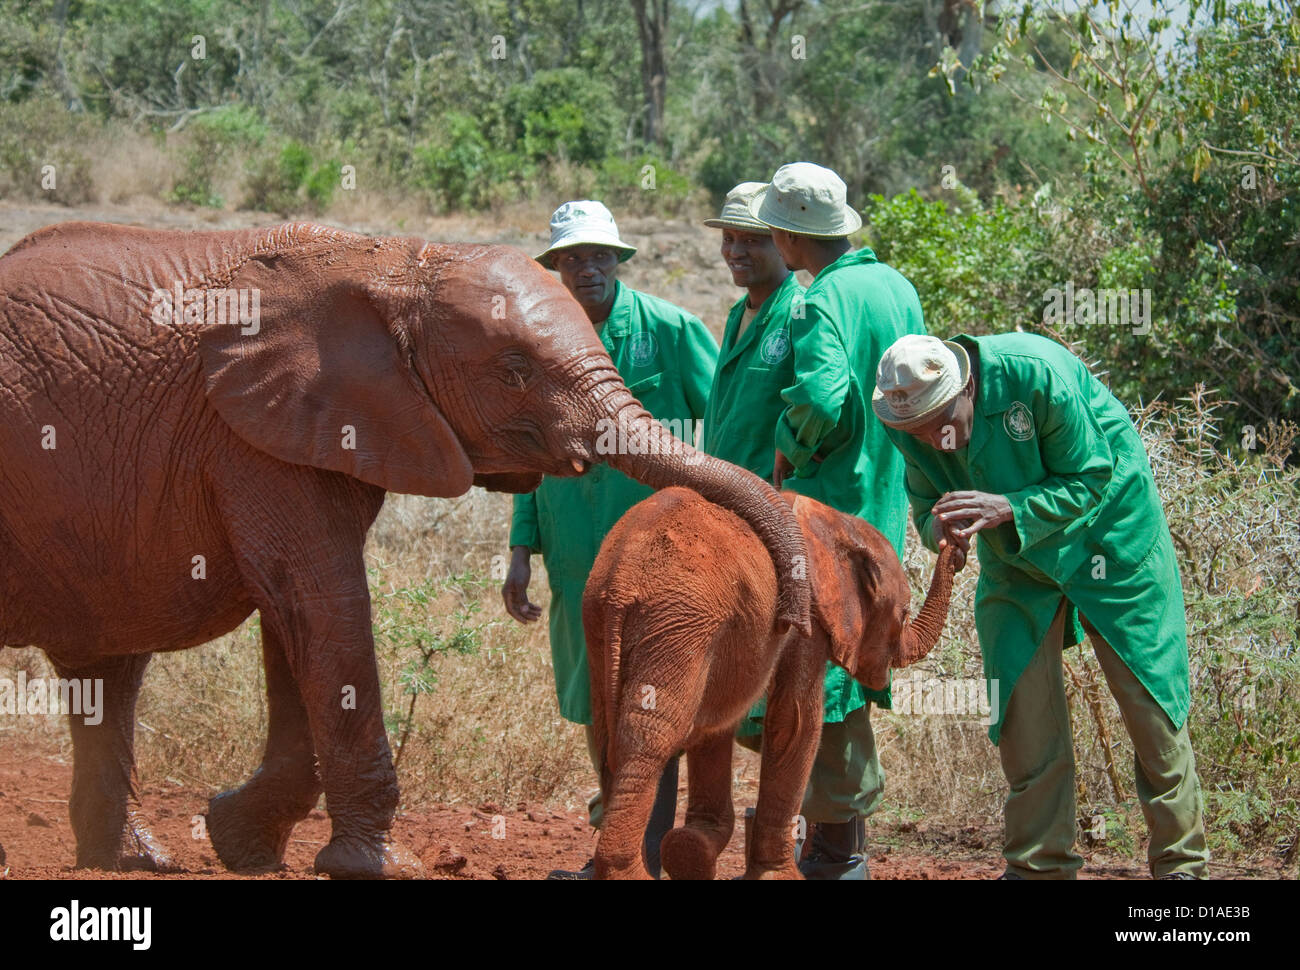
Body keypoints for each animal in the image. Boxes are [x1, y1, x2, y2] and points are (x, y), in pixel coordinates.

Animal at [585, 483, 961, 878]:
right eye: (903, 615)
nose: (952, 530)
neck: (834, 525)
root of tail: (621, 579)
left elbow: (719, 721)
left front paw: (692, 852)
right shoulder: (807, 615)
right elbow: (795, 722)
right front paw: (782, 875)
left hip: (603, 622)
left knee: (609, 734)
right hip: (674, 621)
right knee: (649, 736)